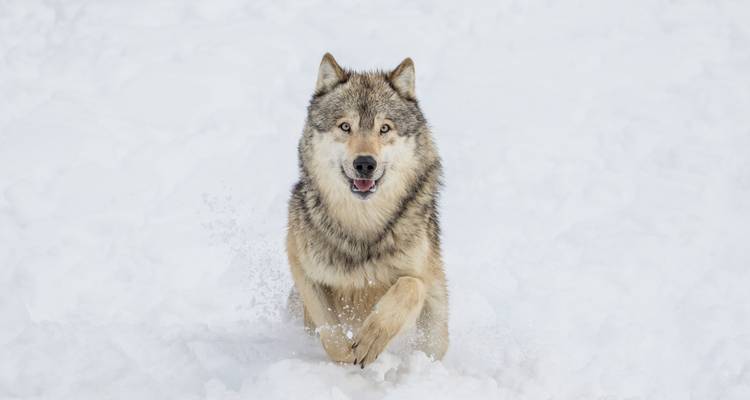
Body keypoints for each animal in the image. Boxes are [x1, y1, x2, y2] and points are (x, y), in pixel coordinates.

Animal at [286, 53, 448, 368]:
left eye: (384, 128)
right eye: (345, 126)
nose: (364, 163)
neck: (363, 224)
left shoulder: (419, 279)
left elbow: (409, 287)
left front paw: (371, 338)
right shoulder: (303, 268)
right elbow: (330, 329)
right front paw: (345, 359)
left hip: (436, 328)